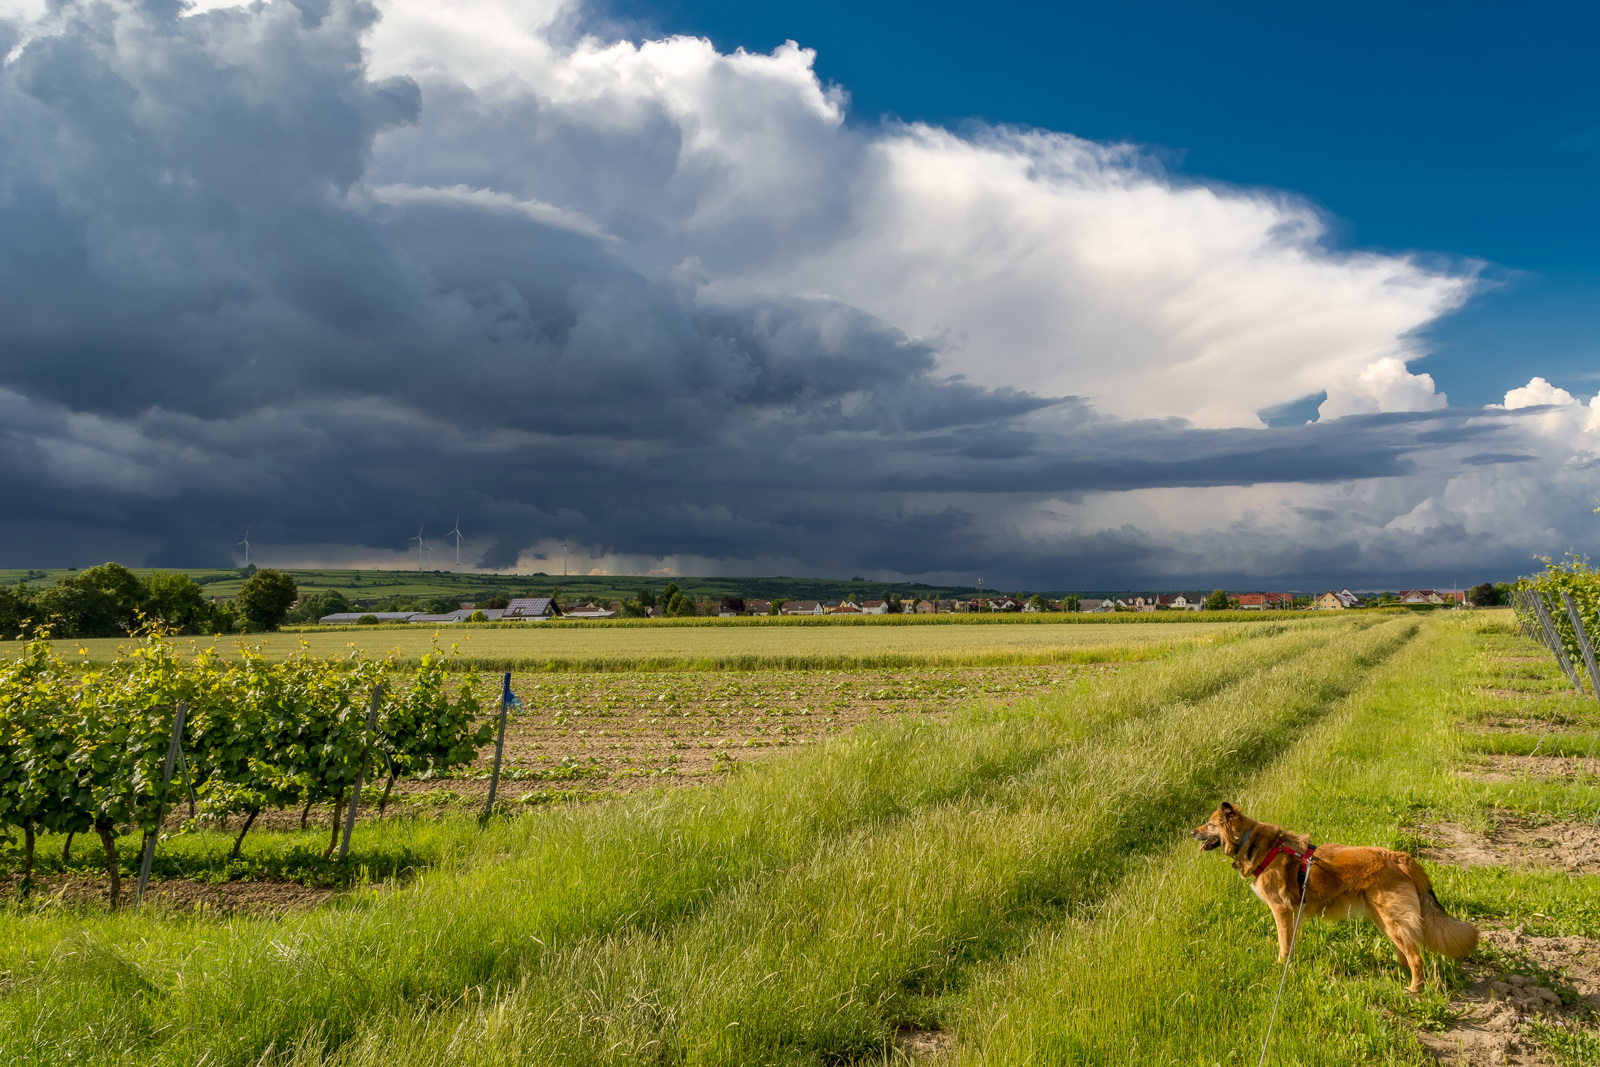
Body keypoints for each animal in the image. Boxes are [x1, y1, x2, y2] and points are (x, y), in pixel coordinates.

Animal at [1196, 799, 1478, 991]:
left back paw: (1413, 989)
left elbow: (1283, 943)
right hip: (1384, 919)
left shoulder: (1282, 910)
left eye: (1210, 824)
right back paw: (1397, 975)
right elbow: (1291, 942)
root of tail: (1402, 858)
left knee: (1416, 957)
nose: (1191, 833)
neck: (1254, 843)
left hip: (1391, 919)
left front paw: (1281, 966)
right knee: (1404, 952)